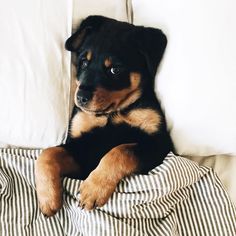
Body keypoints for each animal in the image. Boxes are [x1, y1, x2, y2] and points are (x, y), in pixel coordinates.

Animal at [34, 15, 173, 217]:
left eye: (115, 69)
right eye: (83, 62)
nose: (80, 97)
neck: (112, 113)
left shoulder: (158, 145)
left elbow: (120, 150)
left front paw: (93, 189)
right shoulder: (82, 150)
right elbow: (48, 153)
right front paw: (48, 199)